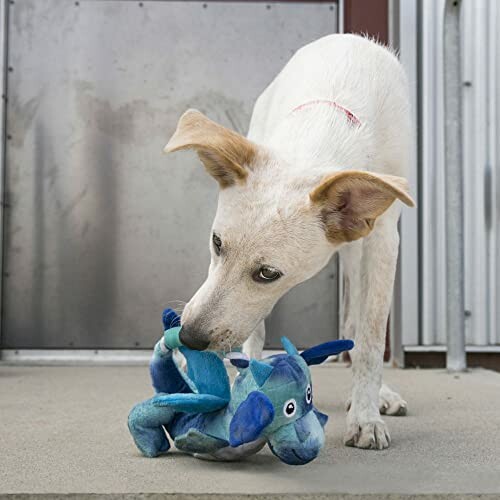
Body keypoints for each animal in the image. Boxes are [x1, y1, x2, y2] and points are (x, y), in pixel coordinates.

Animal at [163, 34, 414, 450]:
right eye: (216, 243)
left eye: (268, 273)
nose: (189, 337)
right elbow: (255, 330)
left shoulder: (383, 240)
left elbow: (372, 336)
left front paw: (365, 416)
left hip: (360, 249)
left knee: (357, 319)